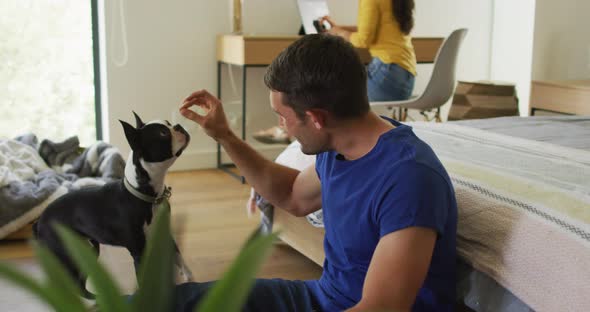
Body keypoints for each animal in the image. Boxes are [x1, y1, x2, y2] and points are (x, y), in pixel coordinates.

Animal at [33, 111, 194, 298]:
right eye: (163, 133)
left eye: (168, 123)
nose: (178, 126)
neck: (147, 197)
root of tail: (40, 219)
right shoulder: (139, 252)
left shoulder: (166, 235)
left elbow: (180, 258)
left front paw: (190, 280)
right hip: (66, 253)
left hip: (89, 249)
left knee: (80, 281)